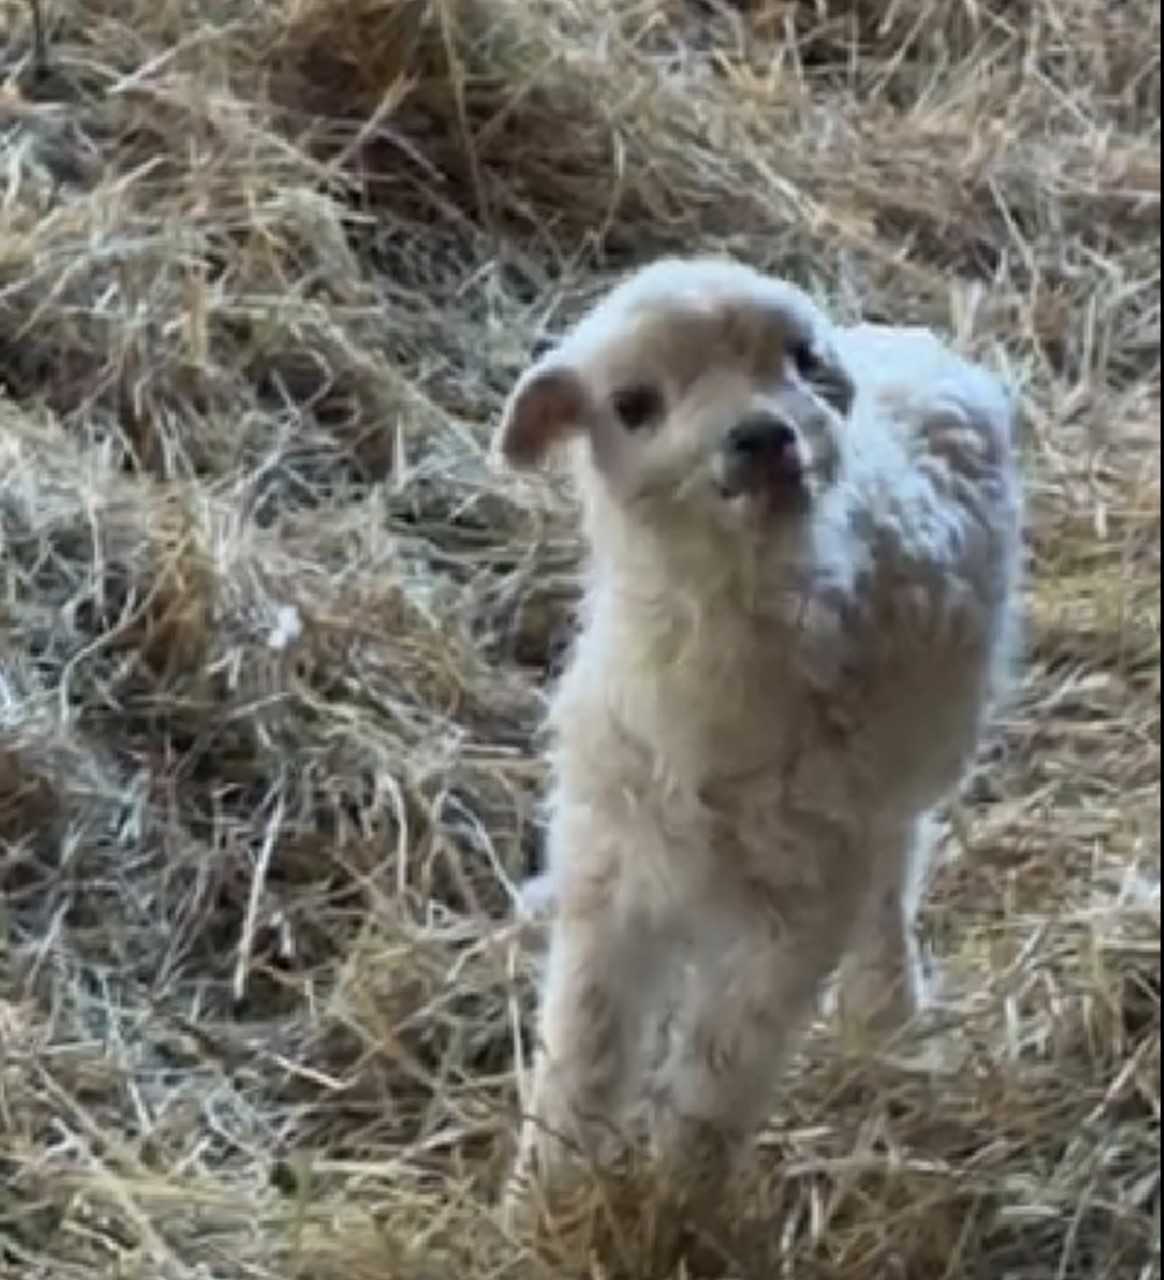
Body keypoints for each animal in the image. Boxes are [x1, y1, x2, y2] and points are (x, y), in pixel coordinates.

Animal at [492, 256, 1023, 1235]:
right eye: (632, 403)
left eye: (800, 360)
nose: (764, 437)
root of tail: (910, 342)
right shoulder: (611, 874)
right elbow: (582, 1053)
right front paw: (539, 1206)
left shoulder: (796, 904)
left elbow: (720, 1068)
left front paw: (675, 1208)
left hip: (907, 770)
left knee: (891, 877)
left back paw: (885, 1014)